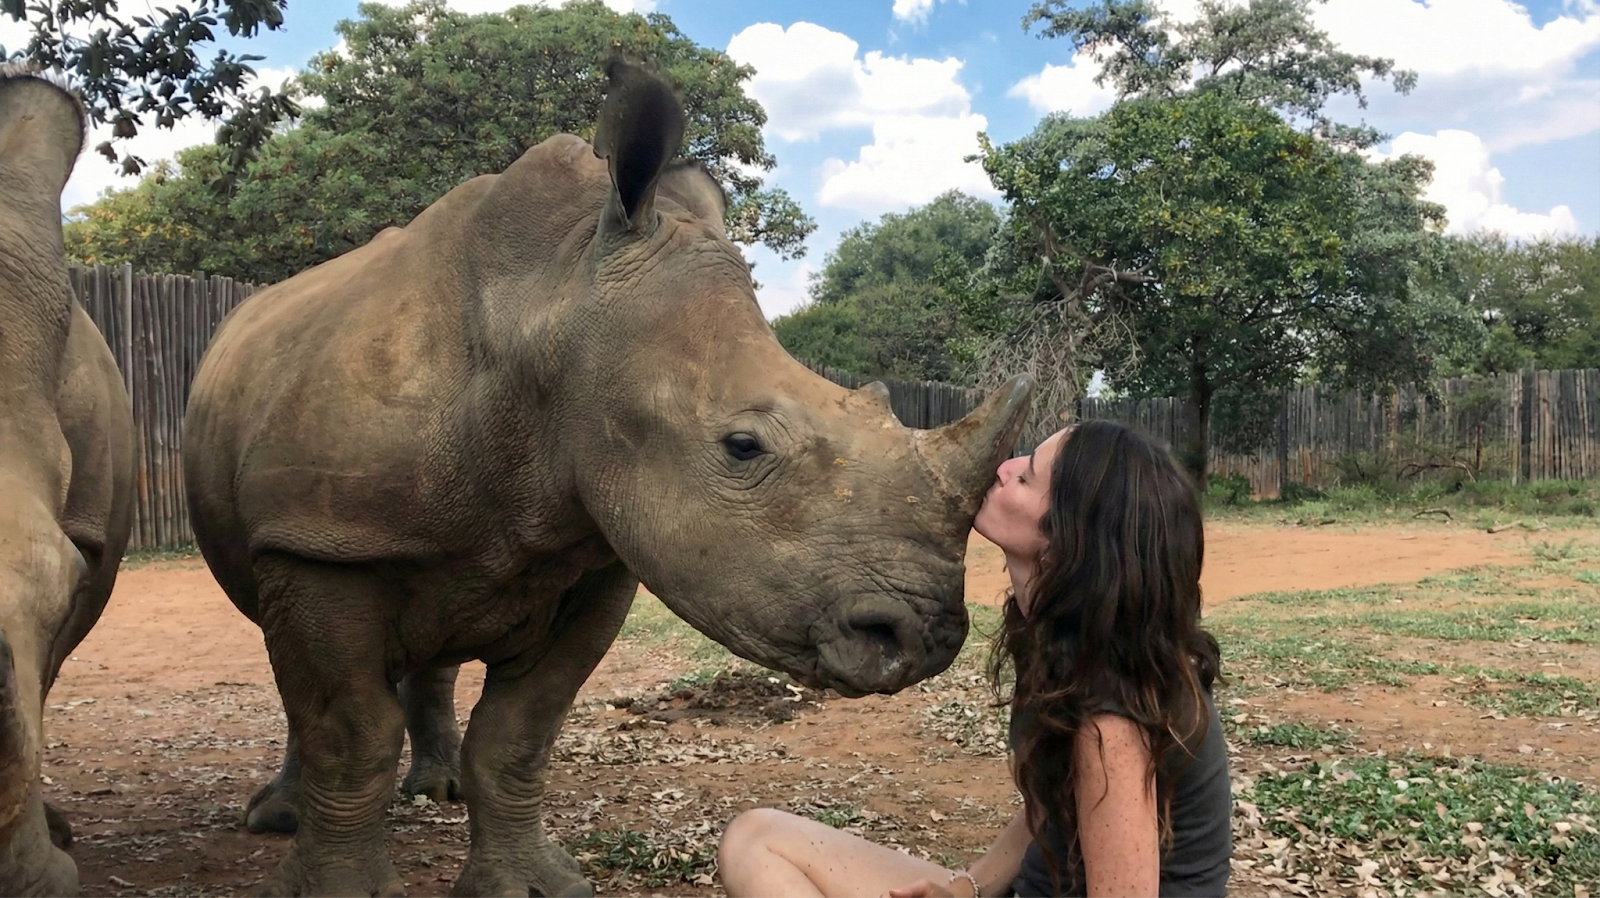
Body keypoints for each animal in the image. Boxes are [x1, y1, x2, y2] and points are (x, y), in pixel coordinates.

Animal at [183, 60, 1031, 898]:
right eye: (743, 447)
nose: (926, 638)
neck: (550, 306)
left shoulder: (601, 554)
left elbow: (519, 735)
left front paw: (528, 886)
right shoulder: (320, 539)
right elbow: (348, 733)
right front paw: (336, 887)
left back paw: (438, 790)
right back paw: (279, 818)